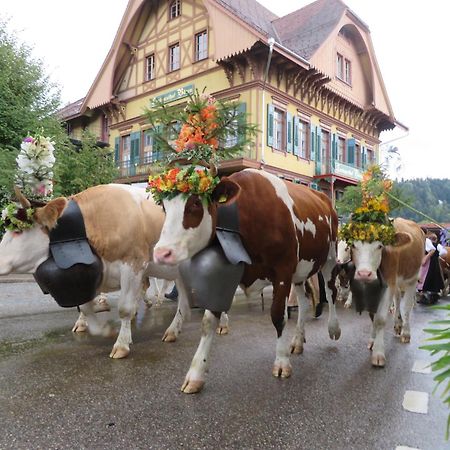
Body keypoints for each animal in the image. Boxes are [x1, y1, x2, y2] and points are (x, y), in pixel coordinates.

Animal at [0, 185, 192, 356]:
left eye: (17, 231)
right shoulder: (94, 276)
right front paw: (105, 329)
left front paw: (121, 345)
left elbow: (124, 308)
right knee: (180, 297)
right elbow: (85, 307)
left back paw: (169, 325)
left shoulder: (133, 265)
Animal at [153, 169, 340, 394]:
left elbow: (278, 316)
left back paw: (333, 329)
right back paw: (297, 342)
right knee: (304, 304)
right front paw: (195, 374)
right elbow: (208, 322)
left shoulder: (283, 271)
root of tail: (324, 198)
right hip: (300, 272)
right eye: (164, 206)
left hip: (330, 257)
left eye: (196, 203)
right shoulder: (229, 274)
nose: (161, 253)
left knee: (330, 292)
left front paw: (281, 362)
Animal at [342, 216, 424, 368]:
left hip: (412, 279)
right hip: (397, 283)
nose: (364, 273)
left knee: (406, 307)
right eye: (353, 245)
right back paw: (398, 325)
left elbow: (380, 319)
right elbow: (373, 317)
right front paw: (372, 341)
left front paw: (378, 354)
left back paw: (406, 332)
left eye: (380, 246)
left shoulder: (389, 284)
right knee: (397, 301)